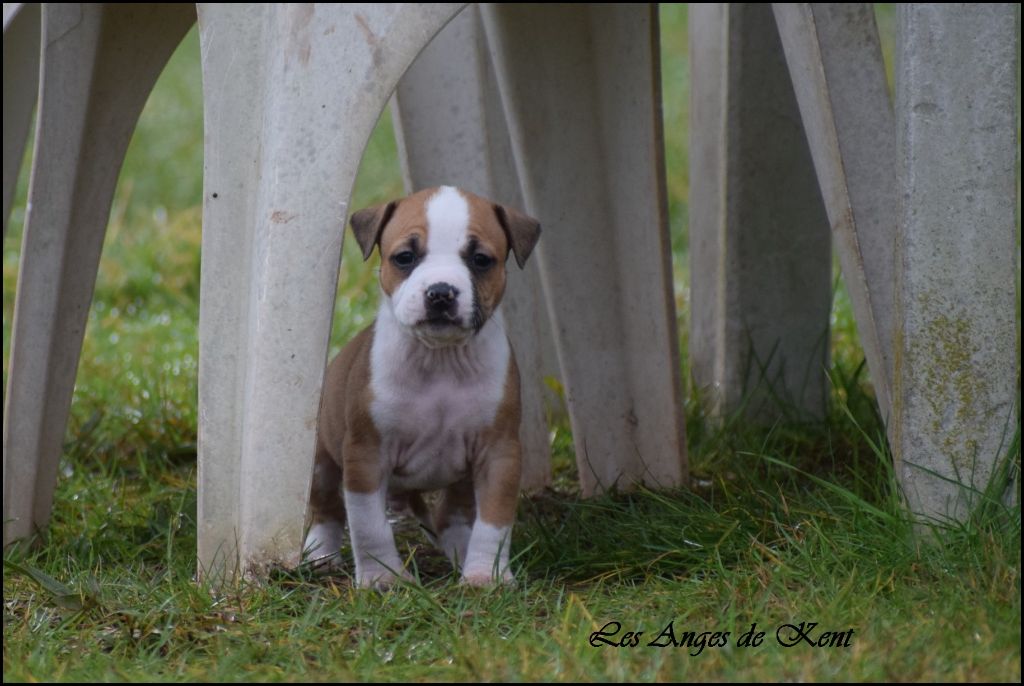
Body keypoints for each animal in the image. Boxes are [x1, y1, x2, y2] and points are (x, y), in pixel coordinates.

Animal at [303, 185, 544, 589]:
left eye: (481, 260)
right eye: (405, 257)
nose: (441, 292)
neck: (440, 360)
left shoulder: (499, 453)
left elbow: (494, 523)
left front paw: (486, 576)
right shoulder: (366, 456)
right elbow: (368, 526)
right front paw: (382, 579)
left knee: (451, 516)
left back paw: (458, 550)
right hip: (322, 460)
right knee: (327, 508)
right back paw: (321, 553)